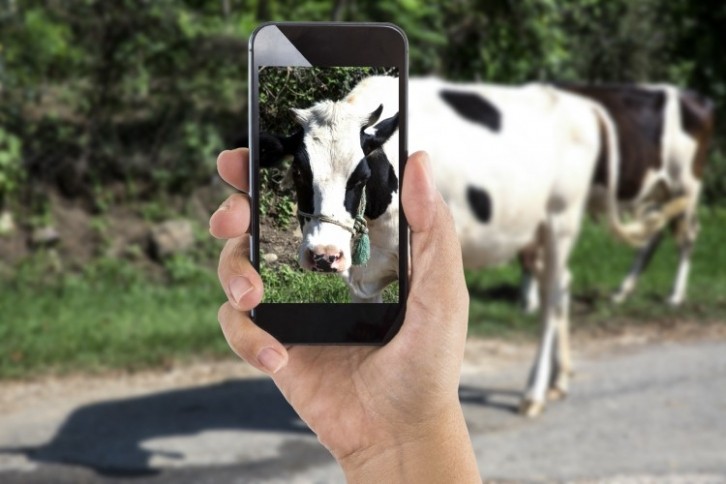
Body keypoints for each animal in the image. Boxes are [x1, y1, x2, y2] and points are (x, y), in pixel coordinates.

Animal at [258, 75, 644, 416]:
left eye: (362, 175)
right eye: (299, 172)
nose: (324, 255)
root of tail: (575, 102)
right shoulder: (362, 279)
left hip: (561, 218)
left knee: (550, 296)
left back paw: (534, 393)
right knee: (562, 284)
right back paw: (559, 380)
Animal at [520, 83, 720, 312]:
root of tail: (694, 96)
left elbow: (532, 248)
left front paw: (530, 301)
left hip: (685, 184)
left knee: (686, 236)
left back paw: (675, 296)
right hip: (658, 190)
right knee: (652, 233)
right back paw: (622, 292)